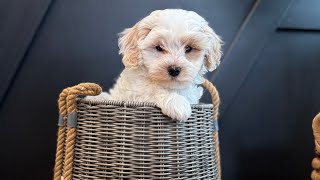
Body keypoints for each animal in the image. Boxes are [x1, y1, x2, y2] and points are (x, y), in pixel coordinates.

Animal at [87, 8, 222, 121]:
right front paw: (178, 104)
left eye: (189, 48)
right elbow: (152, 89)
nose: (174, 69)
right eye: (159, 47)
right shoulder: (134, 93)